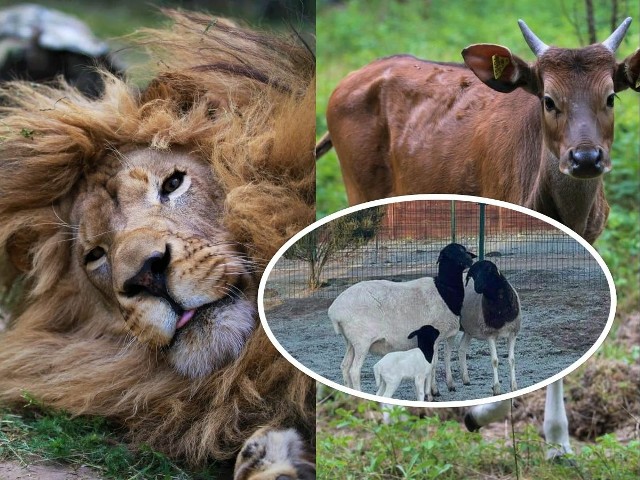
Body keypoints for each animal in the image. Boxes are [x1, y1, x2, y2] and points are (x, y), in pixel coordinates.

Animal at [330, 242, 476, 396]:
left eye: (463, 250)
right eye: (450, 254)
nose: (469, 260)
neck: (445, 291)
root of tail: (334, 311)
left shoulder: (448, 335)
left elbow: (446, 358)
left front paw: (447, 386)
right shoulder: (435, 336)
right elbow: (433, 363)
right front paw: (432, 392)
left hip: (350, 341)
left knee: (345, 366)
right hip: (362, 340)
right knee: (354, 370)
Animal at [460, 260, 520, 396]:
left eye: (489, 271)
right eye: (473, 274)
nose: (477, 287)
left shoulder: (513, 333)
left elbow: (512, 360)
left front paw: (514, 387)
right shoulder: (490, 334)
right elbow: (494, 360)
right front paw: (496, 388)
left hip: (468, 329)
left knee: (462, 348)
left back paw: (465, 379)